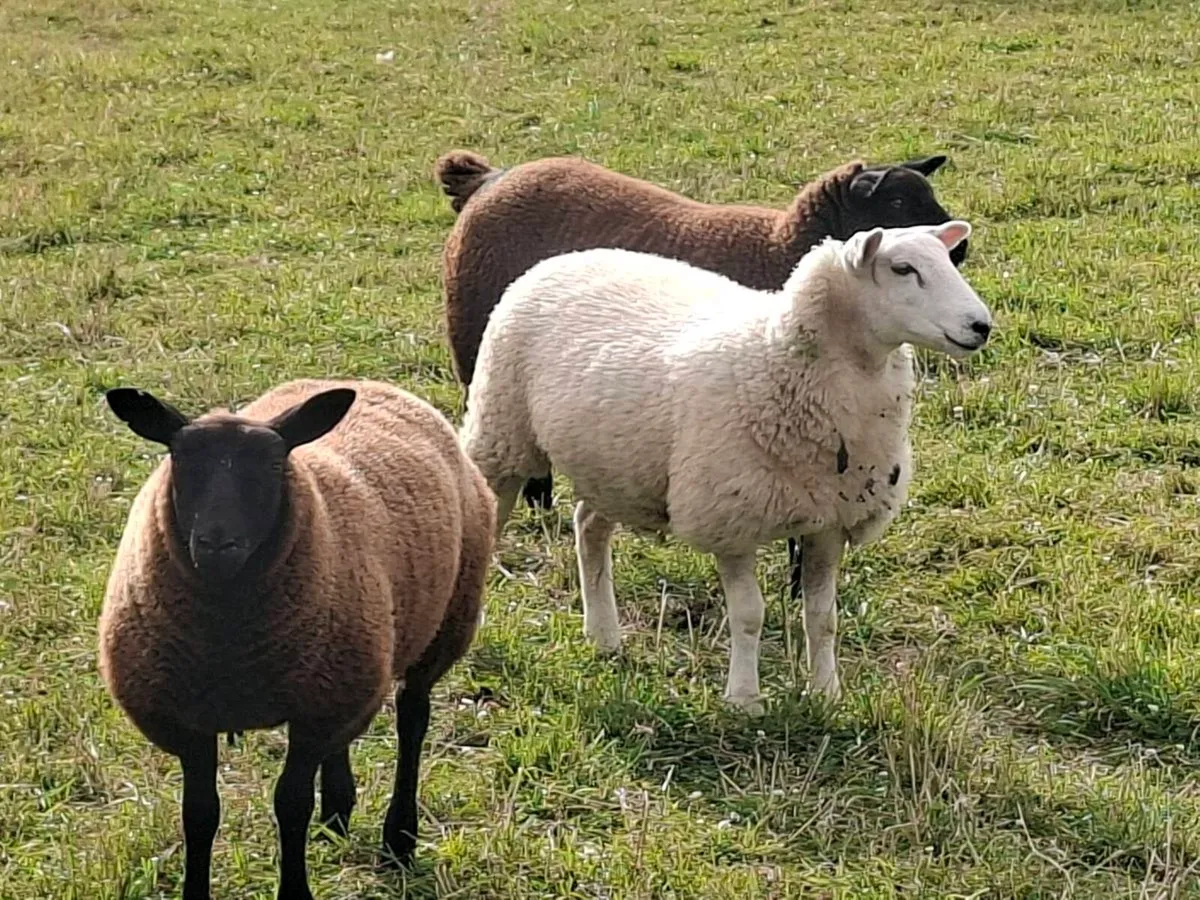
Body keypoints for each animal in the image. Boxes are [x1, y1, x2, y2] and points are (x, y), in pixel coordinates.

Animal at [99, 378, 495, 900]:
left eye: (272, 465)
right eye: (179, 459)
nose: (217, 544)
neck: (228, 643)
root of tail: (370, 383)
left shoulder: (313, 714)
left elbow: (291, 805)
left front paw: (295, 889)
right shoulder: (192, 718)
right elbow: (199, 814)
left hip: (443, 625)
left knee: (413, 720)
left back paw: (399, 839)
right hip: (343, 659)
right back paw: (338, 811)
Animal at [435, 149, 967, 598]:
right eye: (896, 201)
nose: (961, 250)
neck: (777, 247)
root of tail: (487, 178)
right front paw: (796, 590)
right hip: (479, 358)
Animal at [461, 222, 989, 715]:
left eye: (947, 260)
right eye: (903, 269)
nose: (981, 325)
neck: (775, 358)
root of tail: (563, 257)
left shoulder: (830, 520)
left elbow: (822, 616)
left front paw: (826, 694)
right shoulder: (729, 518)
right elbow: (750, 615)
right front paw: (744, 699)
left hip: (614, 462)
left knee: (588, 525)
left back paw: (604, 635)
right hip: (502, 433)